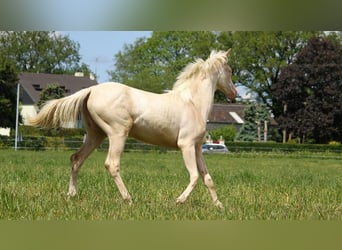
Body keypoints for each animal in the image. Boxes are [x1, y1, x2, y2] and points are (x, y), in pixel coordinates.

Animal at [30, 49, 235, 208]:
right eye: (230, 71)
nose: (234, 94)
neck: (193, 104)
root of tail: (91, 90)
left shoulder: (198, 147)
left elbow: (207, 178)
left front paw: (219, 206)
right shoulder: (186, 145)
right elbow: (194, 177)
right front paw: (178, 201)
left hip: (95, 135)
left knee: (76, 159)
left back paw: (71, 195)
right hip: (117, 133)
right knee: (111, 164)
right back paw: (128, 199)